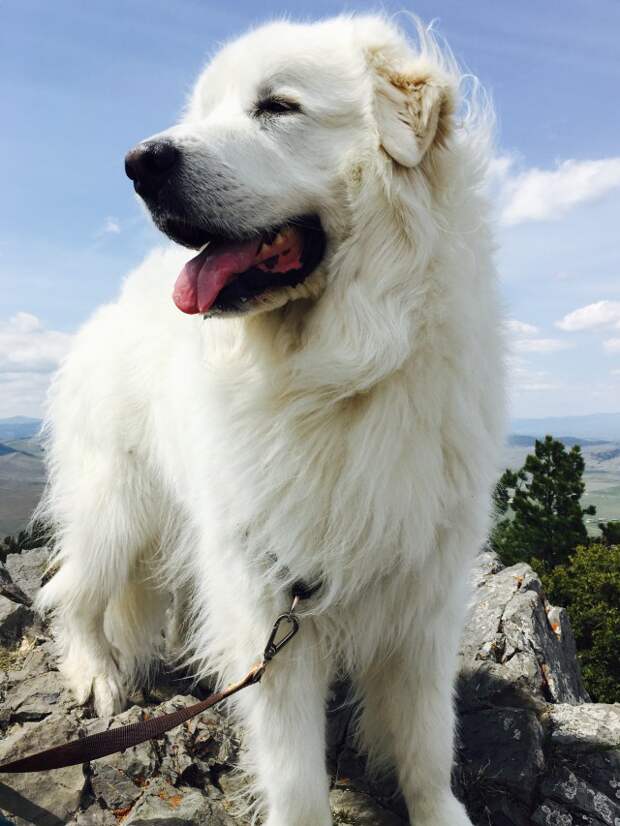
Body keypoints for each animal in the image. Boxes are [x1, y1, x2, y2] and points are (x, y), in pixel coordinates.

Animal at [36, 14, 504, 824]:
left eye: (278, 106)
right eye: (201, 110)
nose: (138, 163)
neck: (340, 373)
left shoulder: (425, 594)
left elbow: (426, 739)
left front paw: (438, 809)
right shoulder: (267, 601)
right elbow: (295, 775)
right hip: (118, 508)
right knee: (71, 592)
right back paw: (96, 675)